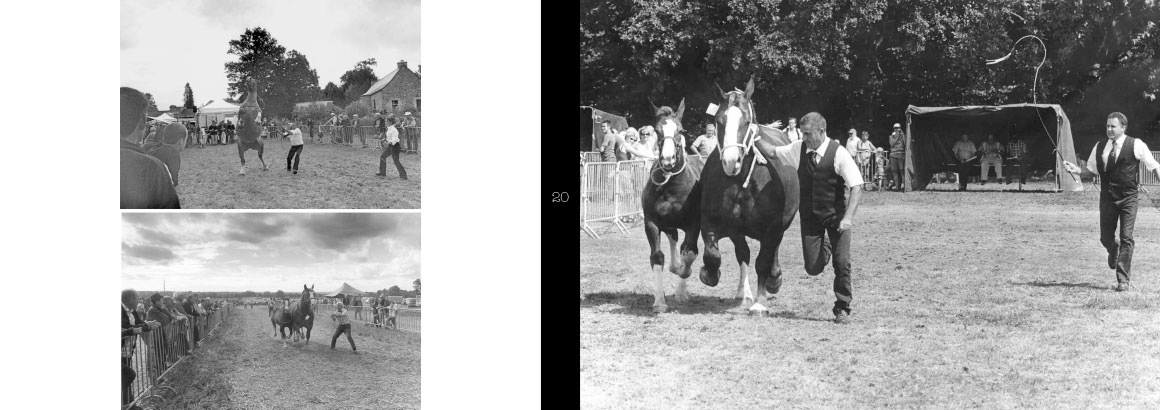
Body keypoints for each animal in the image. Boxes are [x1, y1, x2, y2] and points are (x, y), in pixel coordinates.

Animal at [641, 98, 703, 313]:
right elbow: (657, 257)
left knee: (683, 247)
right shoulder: (651, 223)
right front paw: (659, 301)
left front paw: (682, 287)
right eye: (657, 131)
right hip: (668, 224)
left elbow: (690, 253)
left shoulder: (693, 224)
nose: (668, 160)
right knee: (674, 238)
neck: (670, 186)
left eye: (681, 130)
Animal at [699, 76, 800, 315]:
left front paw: (760, 302)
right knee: (743, 254)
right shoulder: (712, 222)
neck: (743, 182)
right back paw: (743, 292)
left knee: (772, 252)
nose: (730, 161)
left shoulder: (772, 228)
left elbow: (763, 262)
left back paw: (773, 279)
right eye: (719, 121)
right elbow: (713, 255)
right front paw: (710, 273)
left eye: (746, 122)